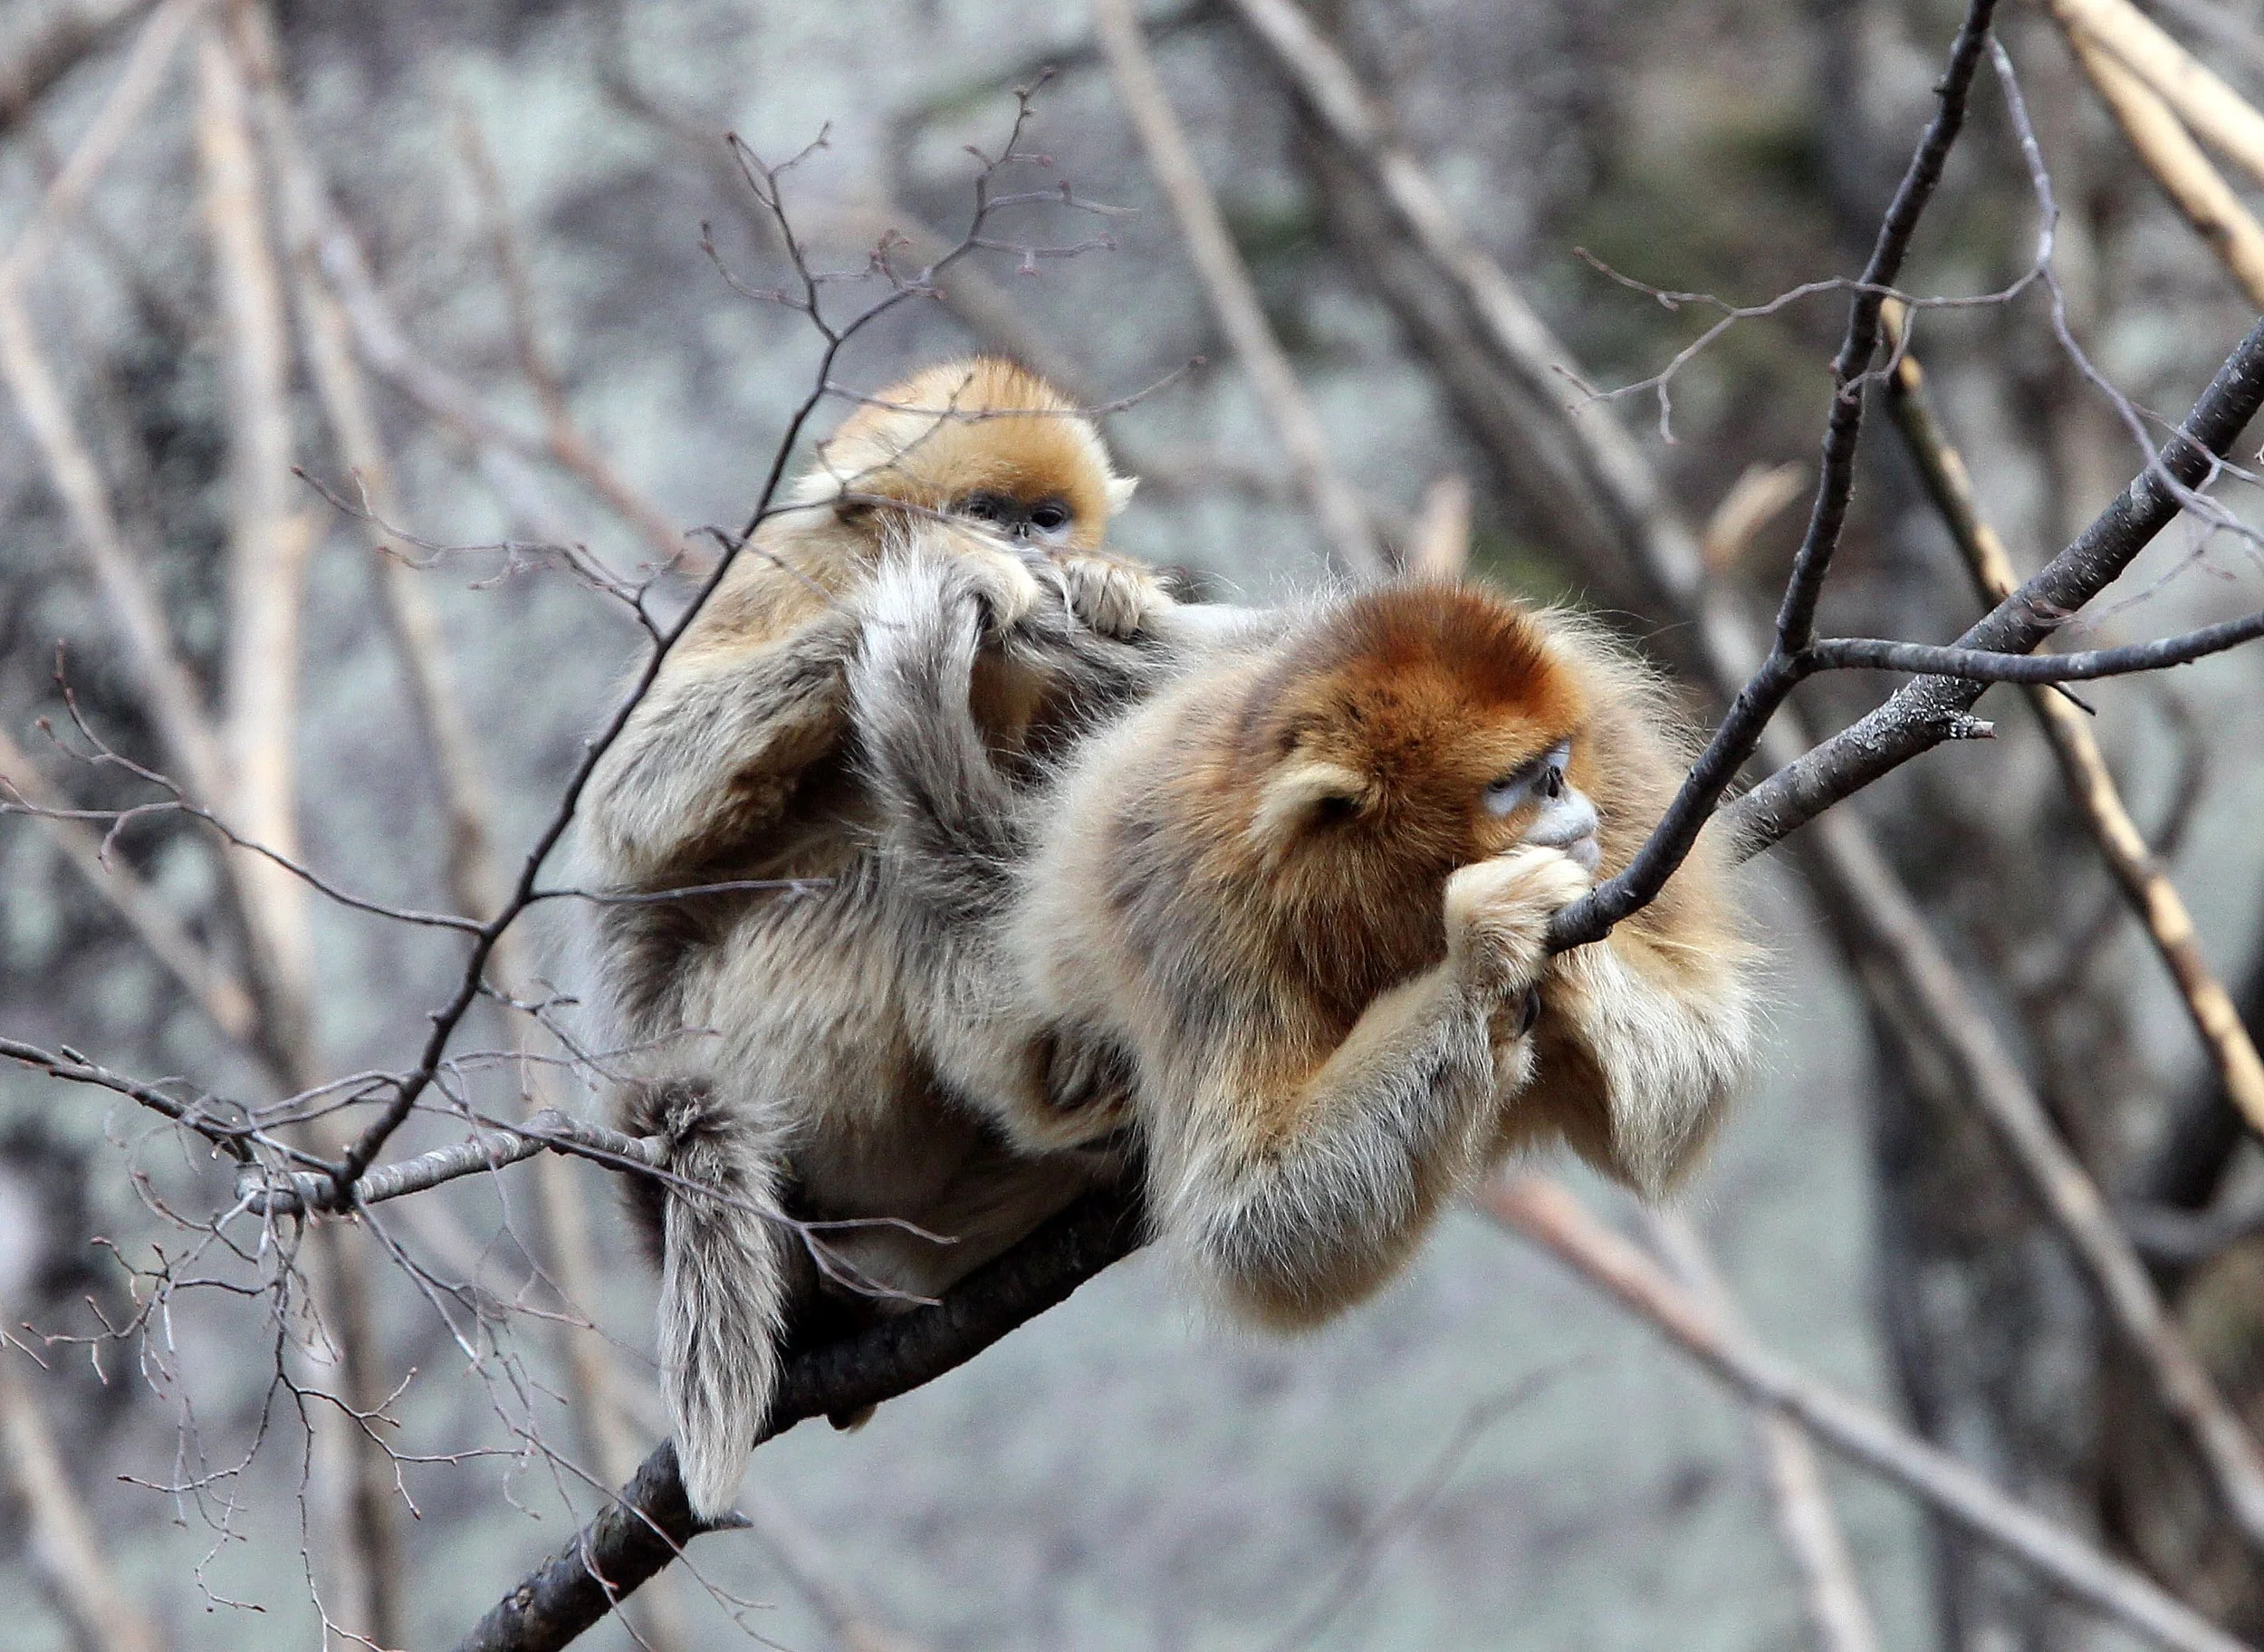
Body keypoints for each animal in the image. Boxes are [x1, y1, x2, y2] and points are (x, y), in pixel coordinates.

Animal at [577, 359, 1249, 1519]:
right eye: (990, 511)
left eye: (1048, 517)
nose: (1032, 547)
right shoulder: (783, 570)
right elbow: (632, 800)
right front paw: (964, 574)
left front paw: (1108, 582)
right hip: (754, 1035)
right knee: (886, 883)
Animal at [848, 548, 1755, 1332]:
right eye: (1519, 784)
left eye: (1559, 763)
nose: (1569, 797)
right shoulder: (1192, 899)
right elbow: (1256, 1222)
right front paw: (1488, 947)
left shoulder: (1615, 748)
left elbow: (1697, 1064)